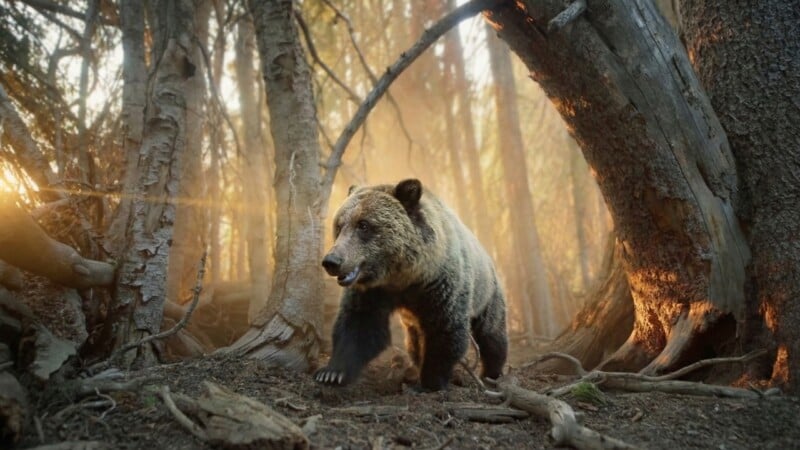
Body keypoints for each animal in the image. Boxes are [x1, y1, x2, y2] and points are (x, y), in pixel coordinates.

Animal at [314, 178, 508, 391]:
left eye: (363, 225)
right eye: (339, 226)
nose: (332, 261)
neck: (404, 275)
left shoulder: (440, 286)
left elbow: (445, 330)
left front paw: (431, 381)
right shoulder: (372, 291)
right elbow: (359, 324)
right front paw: (332, 373)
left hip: (487, 294)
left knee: (491, 334)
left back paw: (492, 373)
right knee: (414, 340)